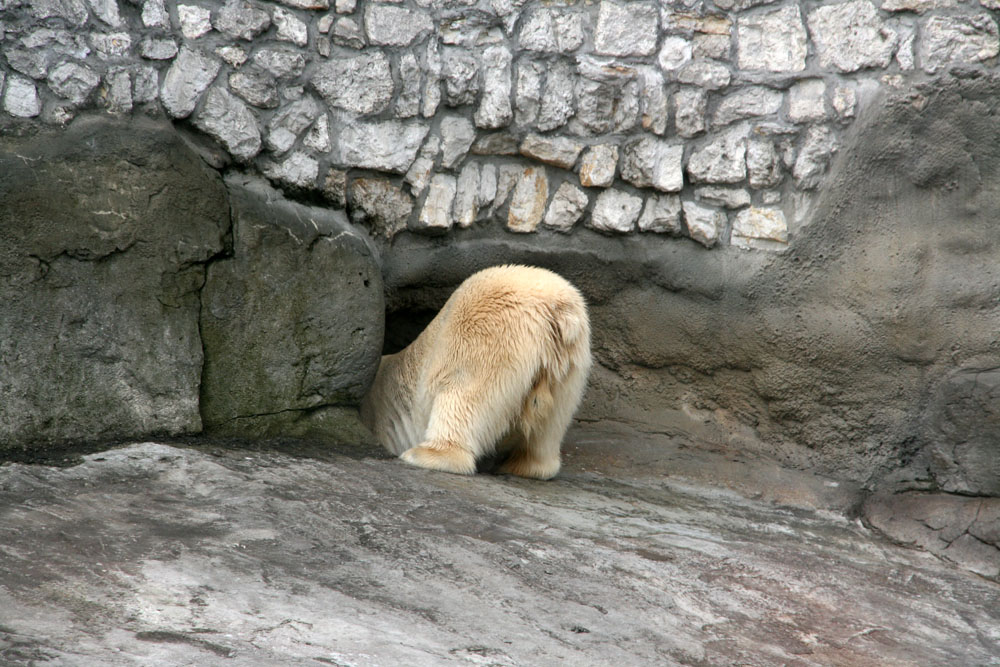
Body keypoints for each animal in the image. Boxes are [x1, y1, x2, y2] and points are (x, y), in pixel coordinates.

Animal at [362, 266, 588, 480]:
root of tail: (559, 311)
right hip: (570, 365)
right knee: (552, 422)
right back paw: (526, 465)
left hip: (487, 336)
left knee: (464, 393)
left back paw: (427, 454)